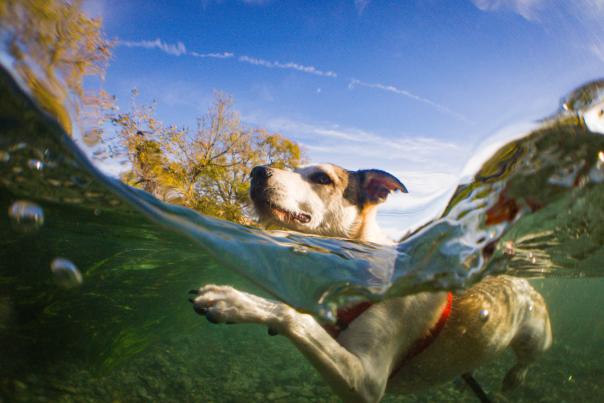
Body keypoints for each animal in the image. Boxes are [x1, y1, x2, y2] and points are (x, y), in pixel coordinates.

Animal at [190, 164, 552, 403]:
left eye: (321, 178)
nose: (257, 170)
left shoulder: (367, 382)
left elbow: (295, 317)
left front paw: (231, 301)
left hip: (536, 333)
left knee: (530, 357)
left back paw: (513, 379)